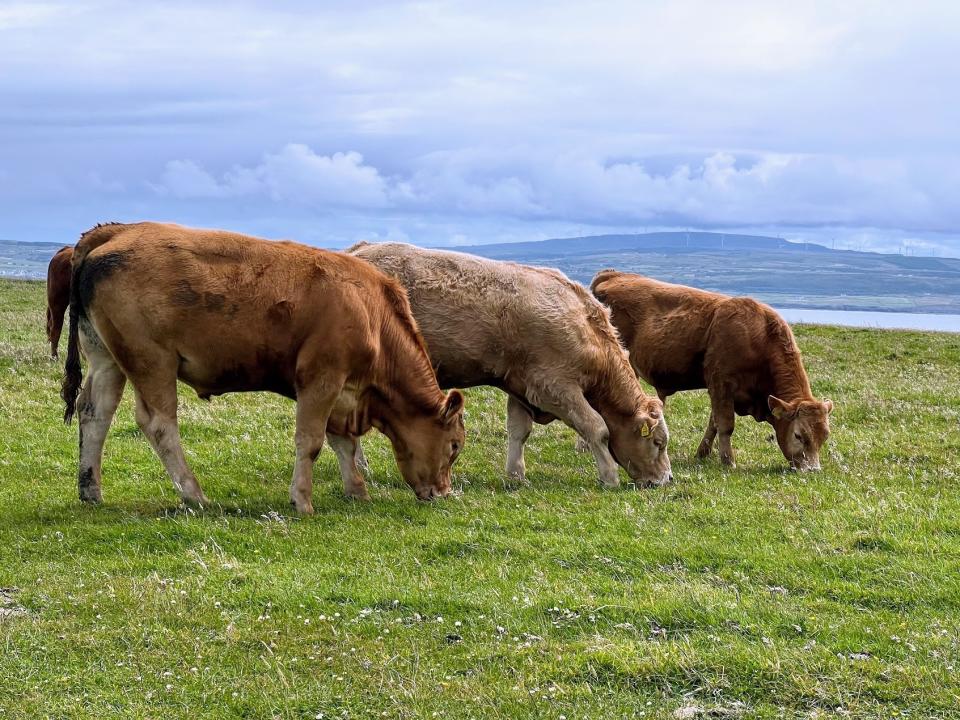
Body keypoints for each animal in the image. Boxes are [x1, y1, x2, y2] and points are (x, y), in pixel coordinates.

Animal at [60, 222, 464, 510]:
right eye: (455, 446)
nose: (442, 493)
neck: (371, 314)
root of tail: (115, 232)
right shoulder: (321, 379)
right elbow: (311, 441)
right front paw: (302, 500)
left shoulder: (342, 393)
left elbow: (344, 444)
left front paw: (358, 491)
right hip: (151, 361)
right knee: (158, 424)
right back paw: (194, 495)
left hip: (107, 359)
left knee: (95, 413)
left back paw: (90, 490)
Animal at [348, 243, 672, 490]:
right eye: (658, 443)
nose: (666, 479)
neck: (583, 325)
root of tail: (358, 251)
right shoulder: (554, 387)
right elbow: (596, 427)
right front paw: (609, 477)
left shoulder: (522, 386)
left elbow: (519, 431)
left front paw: (516, 475)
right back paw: (360, 465)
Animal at [592, 272, 832, 472]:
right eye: (798, 435)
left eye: (825, 436)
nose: (813, 470)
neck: (759, 337)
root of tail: (612, 274)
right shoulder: (721, 383)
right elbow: (725, 425)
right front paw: (728, 461)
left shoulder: (720, 391)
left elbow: (714, 422)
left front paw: (703, 453)